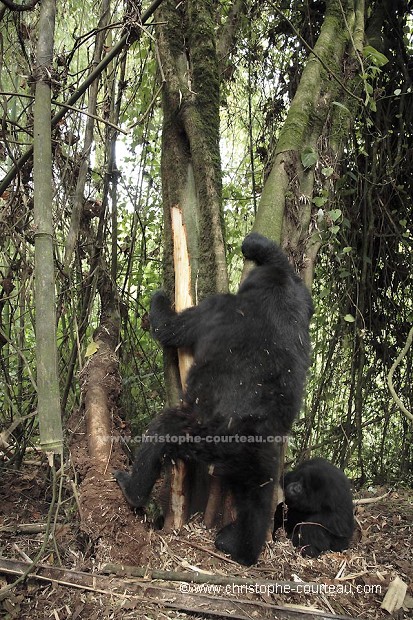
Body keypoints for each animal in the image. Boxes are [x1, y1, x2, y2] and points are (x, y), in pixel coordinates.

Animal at [113, 232, 312, 568]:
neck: (274, 298)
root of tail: (240, 437)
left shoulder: (214, 307)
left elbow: (169, 328)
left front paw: (159, 298)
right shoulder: (298, 298)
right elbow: (289, 272)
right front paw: (258, 245)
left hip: (197, 433)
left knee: (160, 432)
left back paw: (133, 488)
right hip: (263, 457)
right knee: (258, 499)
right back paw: (242, 548)